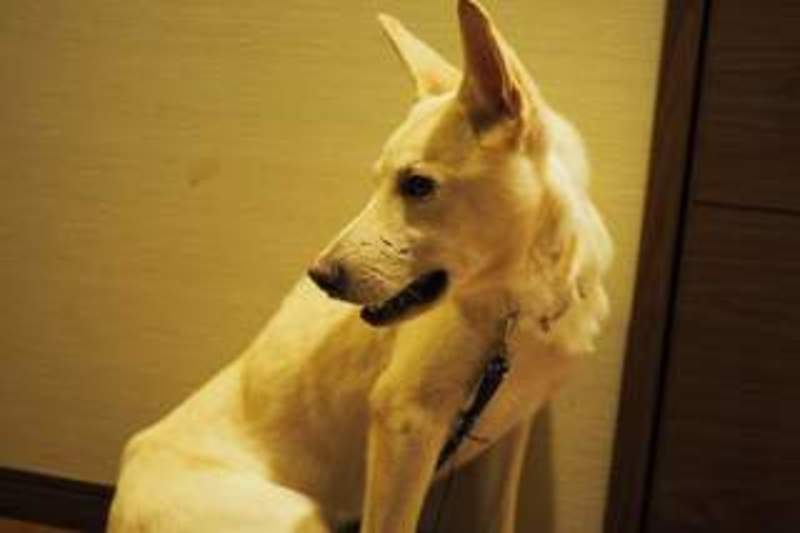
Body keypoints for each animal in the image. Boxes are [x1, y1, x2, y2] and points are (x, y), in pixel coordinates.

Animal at [108, 1, 612, 531]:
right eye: (377, 182)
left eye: (417, 185)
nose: (319, 276)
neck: (521, 310)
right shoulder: (406, 421)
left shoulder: (510, 429)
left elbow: (499, 516)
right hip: (295, 513)